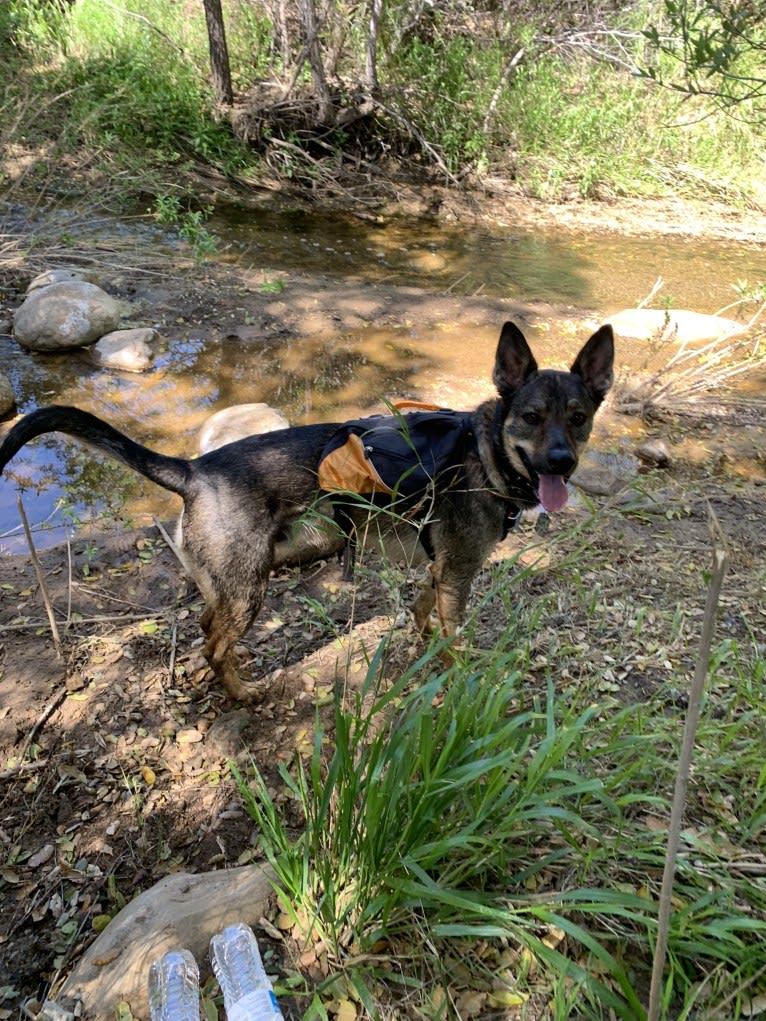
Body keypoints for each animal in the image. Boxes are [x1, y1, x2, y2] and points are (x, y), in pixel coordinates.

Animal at [0, 322, 616, 698]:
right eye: (531, 417)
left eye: (579, 417)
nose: (561, 462)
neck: (485, 451)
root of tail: (194, 470)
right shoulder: (458, 574)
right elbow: (454, 640)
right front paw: (456, 677)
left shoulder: (439, 570)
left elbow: (424, 616)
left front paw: (423, 648)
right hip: (249, 587)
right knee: (213, 646)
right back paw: (243, 694)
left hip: (234, 582)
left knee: (205, 629)